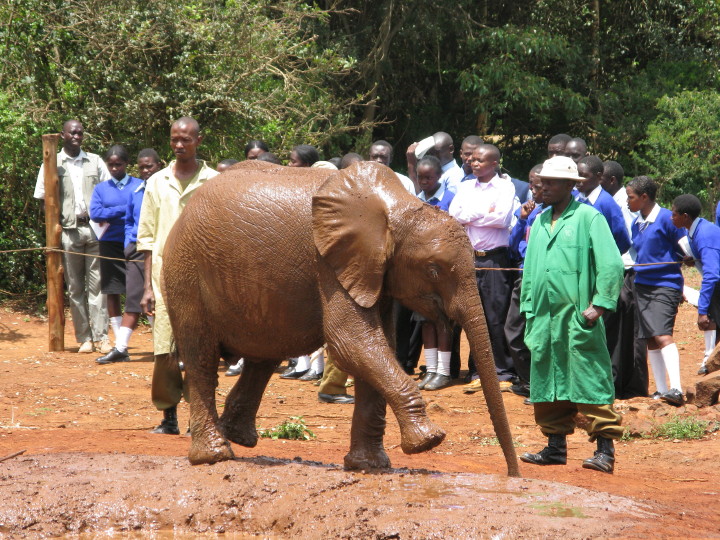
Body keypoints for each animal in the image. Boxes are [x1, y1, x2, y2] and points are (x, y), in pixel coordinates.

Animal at [162, 160, 520, 477]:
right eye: (433, 269)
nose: (513, 475)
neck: (399, 207)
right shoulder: (328, 261)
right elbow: (352, 342)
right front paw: (428, 441)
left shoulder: (373, 270)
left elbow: (378, 346)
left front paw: (369, 466)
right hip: (185, 271)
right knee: (202, 358)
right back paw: (214, 456)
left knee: (262, 358)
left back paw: (237, 438)